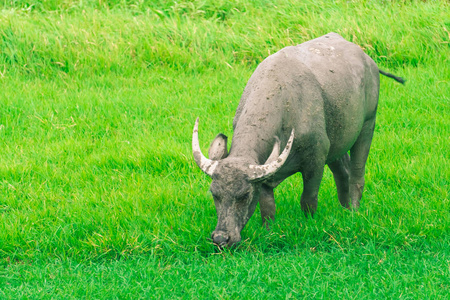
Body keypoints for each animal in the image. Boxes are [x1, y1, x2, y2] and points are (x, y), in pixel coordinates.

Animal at [192, 33, 406, 248]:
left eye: (244, 195)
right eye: (214, 194)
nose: (221, 238)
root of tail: (368, 60)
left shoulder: (316, 160)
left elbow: (308, 199)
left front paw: (308, 223)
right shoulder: (267, 173)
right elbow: (267, 207)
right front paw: (268, 231)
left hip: (367, 126)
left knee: (356, 176)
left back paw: (353, 211)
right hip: (336, 143)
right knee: (342, 173)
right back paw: (344, 210)